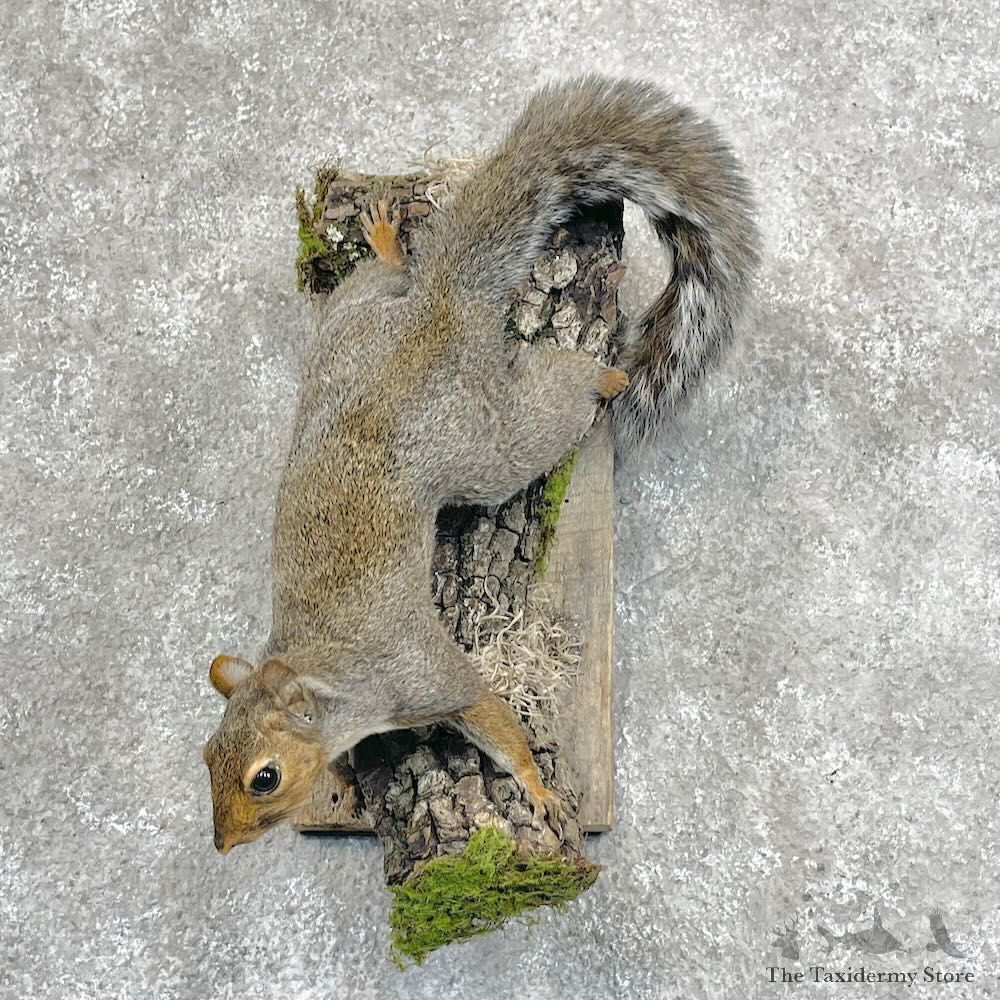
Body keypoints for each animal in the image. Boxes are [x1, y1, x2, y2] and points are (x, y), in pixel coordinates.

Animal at [203, 75, 760, 853]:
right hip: (348, 328)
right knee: (376, 283)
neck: (326, 674)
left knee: (540, 412)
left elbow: (487, 711)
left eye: (265, 777)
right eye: (207, 757)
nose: (223, 844)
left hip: (478, 444)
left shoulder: (419, 676)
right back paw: (387, 246)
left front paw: (534, 786)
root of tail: (432, 319)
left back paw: (604, 376)